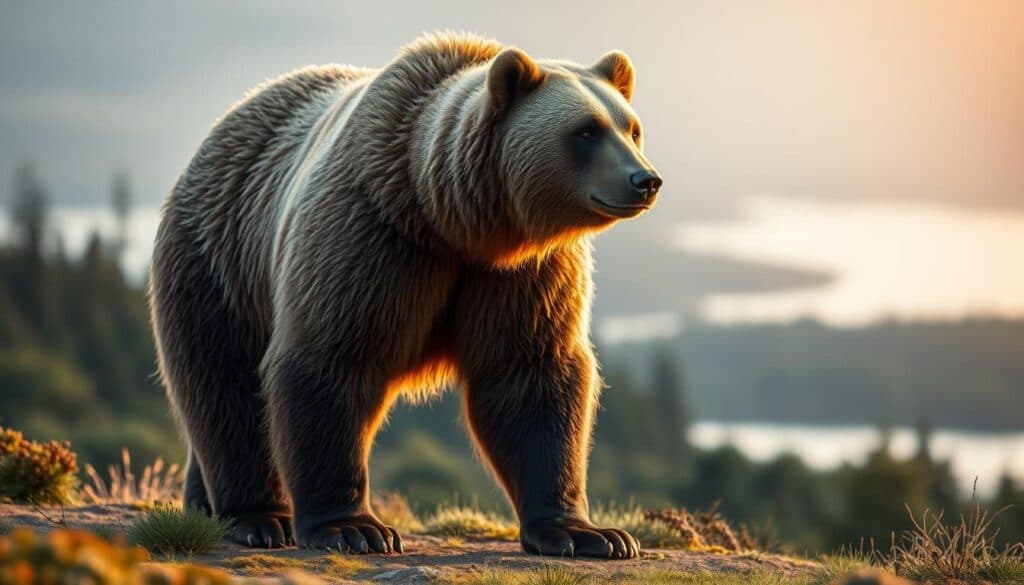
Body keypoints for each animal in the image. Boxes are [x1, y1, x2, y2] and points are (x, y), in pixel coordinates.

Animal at [149, 32, 661, 559]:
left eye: (632, 129)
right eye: (586, 131)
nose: (645, 180)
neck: (453, 220)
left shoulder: (522, 275)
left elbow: (530, 376)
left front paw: (590, 534)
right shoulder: (372, 235)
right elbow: (329, 358)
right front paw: (354, 528)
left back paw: (204, 504)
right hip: (221, 260)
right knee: (225, 386)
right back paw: (257, 517)